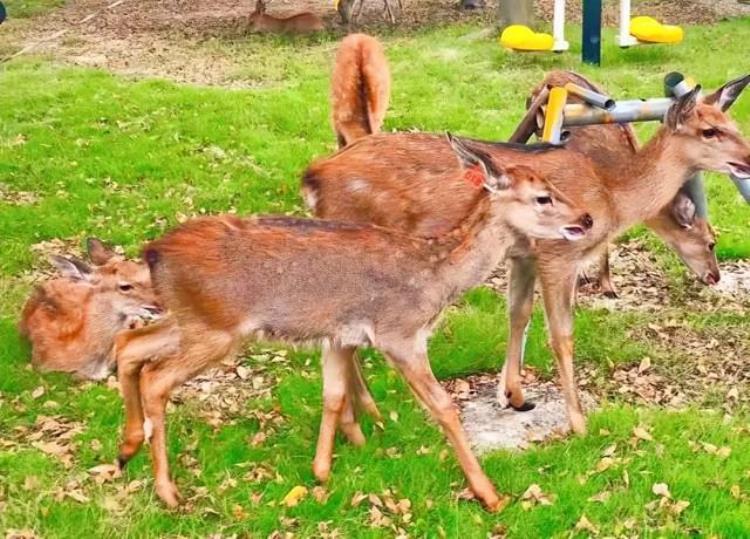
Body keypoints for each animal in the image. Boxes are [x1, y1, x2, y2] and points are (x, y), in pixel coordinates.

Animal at [110, 135, 592, 510]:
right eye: (543, 197)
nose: (586, 217)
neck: (435, 278)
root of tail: (153, 252)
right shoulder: (399, 332)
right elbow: (444, 406)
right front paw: (489, 495)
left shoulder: (340, 332)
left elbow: (334, 393)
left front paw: (323, 469)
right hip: (217, 327)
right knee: (156, 377)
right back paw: (167, 491)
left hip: (190, 318)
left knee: (130, 347)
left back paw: (126, 449)